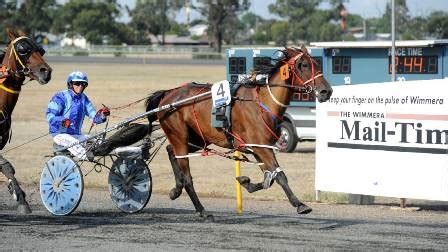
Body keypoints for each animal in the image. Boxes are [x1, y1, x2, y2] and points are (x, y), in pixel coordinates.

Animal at [145, 46, 330, 220]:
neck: (262, 103)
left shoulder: (258, 148)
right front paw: (300, 204)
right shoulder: (262, 147)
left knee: (171, 151)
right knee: (187, 175)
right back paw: (202, 210)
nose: (326, 91)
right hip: (180, 136)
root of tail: (167, 94)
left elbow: (268, 179)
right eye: (303, 65)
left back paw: (176, 189)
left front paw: (245, 181)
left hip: (196, 138)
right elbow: (280, 175)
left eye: (317, 63)